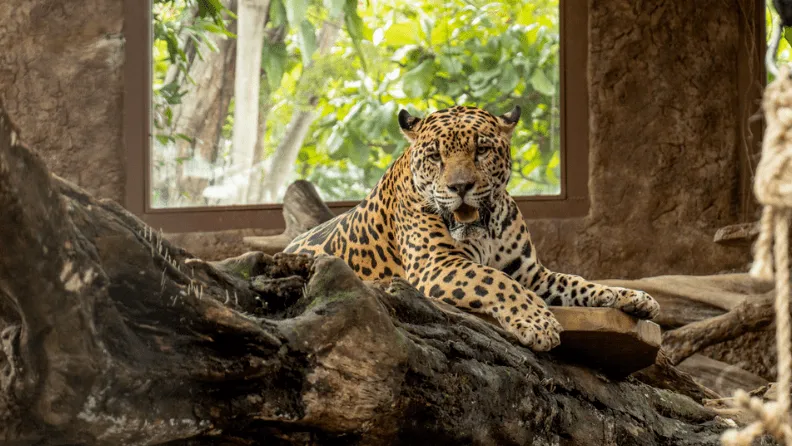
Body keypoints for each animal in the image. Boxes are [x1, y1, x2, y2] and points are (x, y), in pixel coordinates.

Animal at [284, 105, 659, 351]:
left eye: (481, 149)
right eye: (435, 156)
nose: (460, 186)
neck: (487, 226)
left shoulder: (531, 272)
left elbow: (575, 281)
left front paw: (630, 296)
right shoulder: (438, 264)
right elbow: (496, 280)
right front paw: (538, 324)